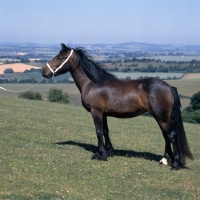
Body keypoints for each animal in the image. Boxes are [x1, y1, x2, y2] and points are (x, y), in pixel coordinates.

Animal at [41, 43, 193, 170]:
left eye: (60, 57)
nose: (43, 71)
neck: (92, 83)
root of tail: (169, 87)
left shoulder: (96, 112)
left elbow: (98, 132)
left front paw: (99, 155)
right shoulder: (104, 113)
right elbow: (105, 131)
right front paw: (109, 152)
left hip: (162, 117)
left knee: (172, 135)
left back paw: (175, 164)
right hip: (160, 117)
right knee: (166, 136)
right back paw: (165, 160)